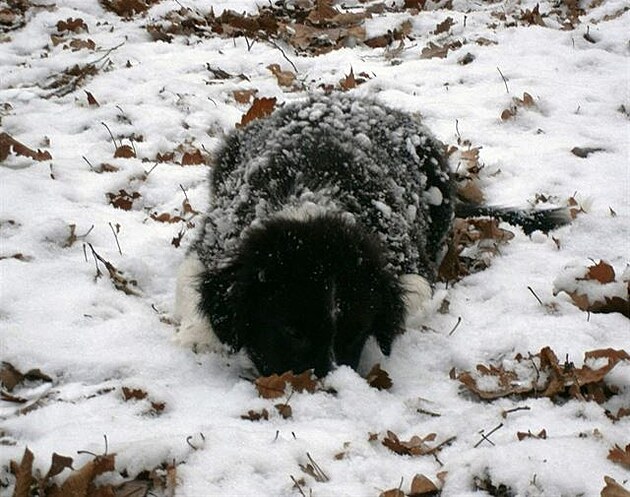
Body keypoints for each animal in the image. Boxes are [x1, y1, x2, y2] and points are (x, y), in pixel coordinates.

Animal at [175, 94, 572, 376]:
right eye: (292, 331)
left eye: (354, 334)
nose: (327, 386)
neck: (313, 196)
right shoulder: (216, 236)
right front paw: (199, 336)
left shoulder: (407, 262)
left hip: (439, 186)